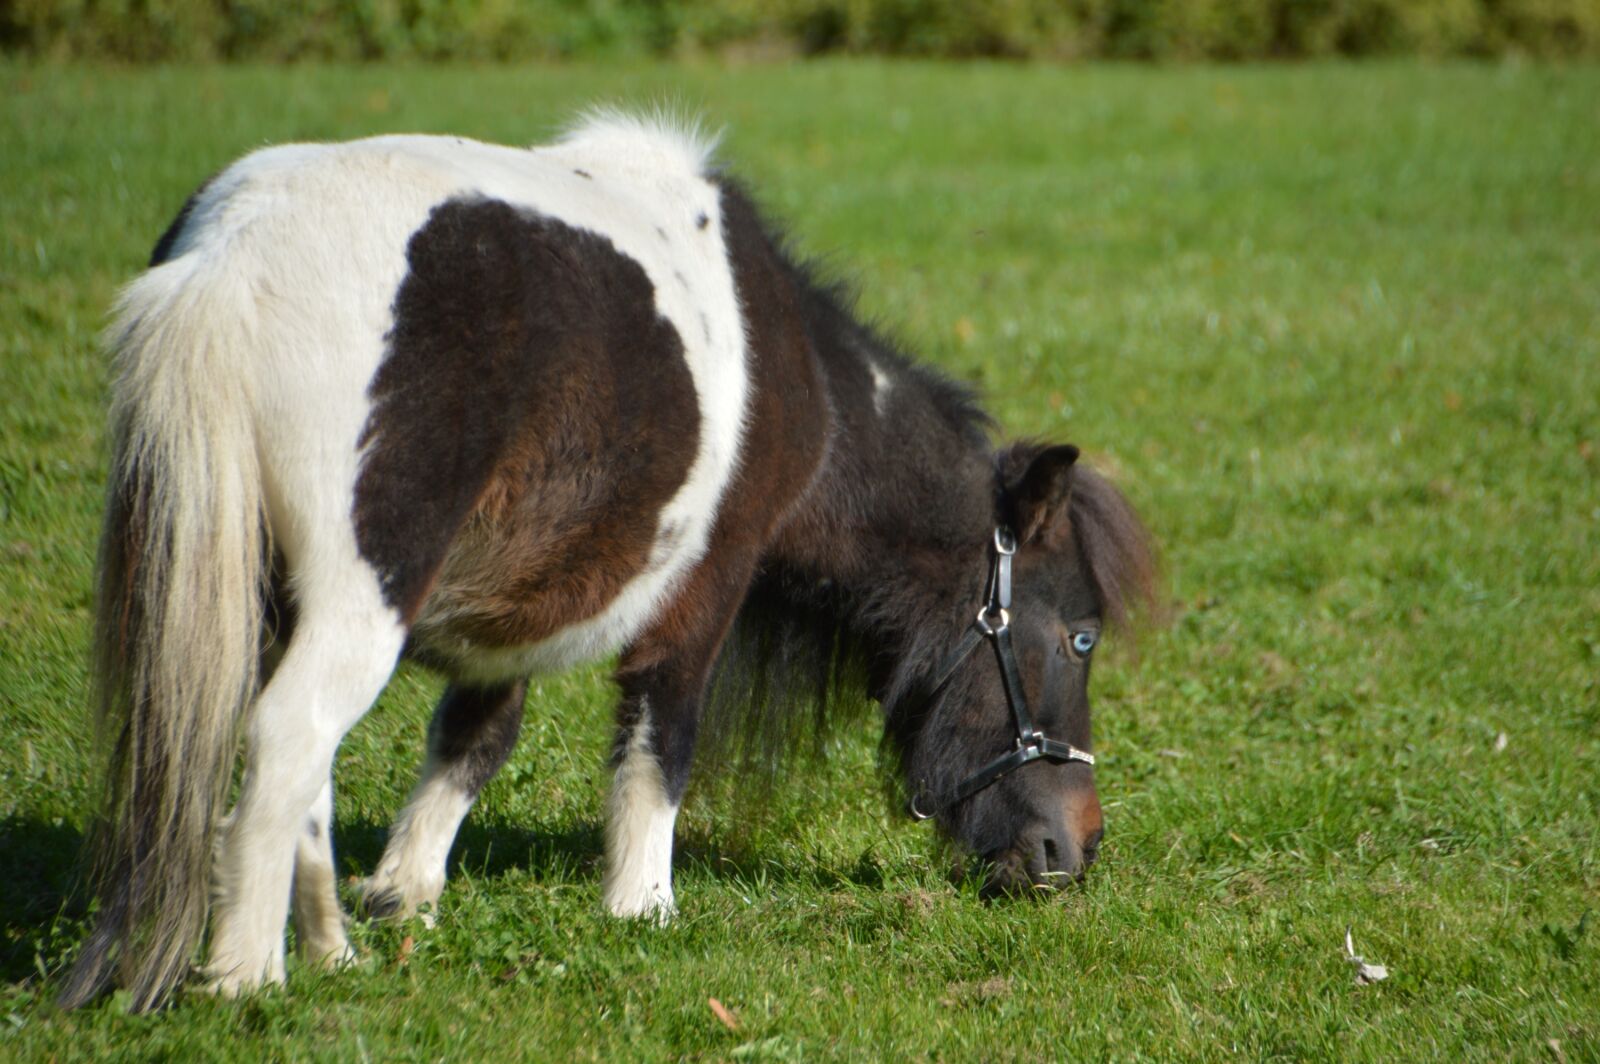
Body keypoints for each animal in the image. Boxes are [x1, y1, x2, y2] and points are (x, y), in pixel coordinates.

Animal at [62, 112, 1158, 1011]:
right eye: (1080, 637)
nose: (1078, 847)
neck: (798, 369)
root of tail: (228, 259)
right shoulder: (701, 593)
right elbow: (656, 747)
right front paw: (643, 905)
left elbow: (473, 737)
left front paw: (402, 897)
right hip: (357, 602)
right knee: (289, 739)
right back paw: (246, 977)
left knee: (282, 762)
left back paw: (324, 950)